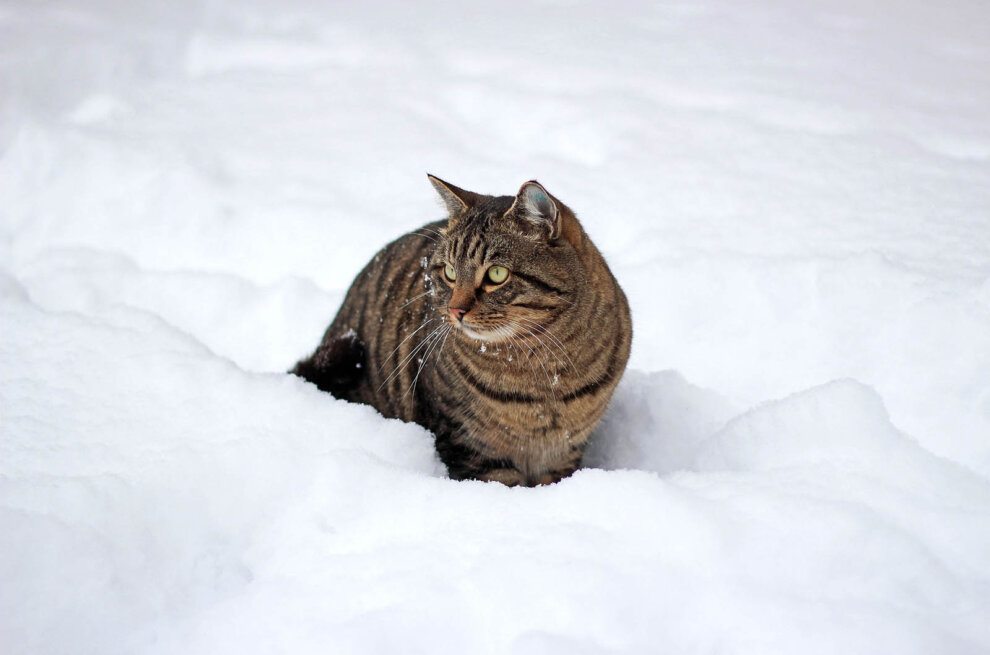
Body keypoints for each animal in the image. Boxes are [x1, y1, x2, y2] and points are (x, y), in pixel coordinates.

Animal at [294, 174, 636, 486]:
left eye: (497, 274)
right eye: (449, 272)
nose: (456, 311)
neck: (542, 373)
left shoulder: (564, 451)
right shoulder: (470, 446)